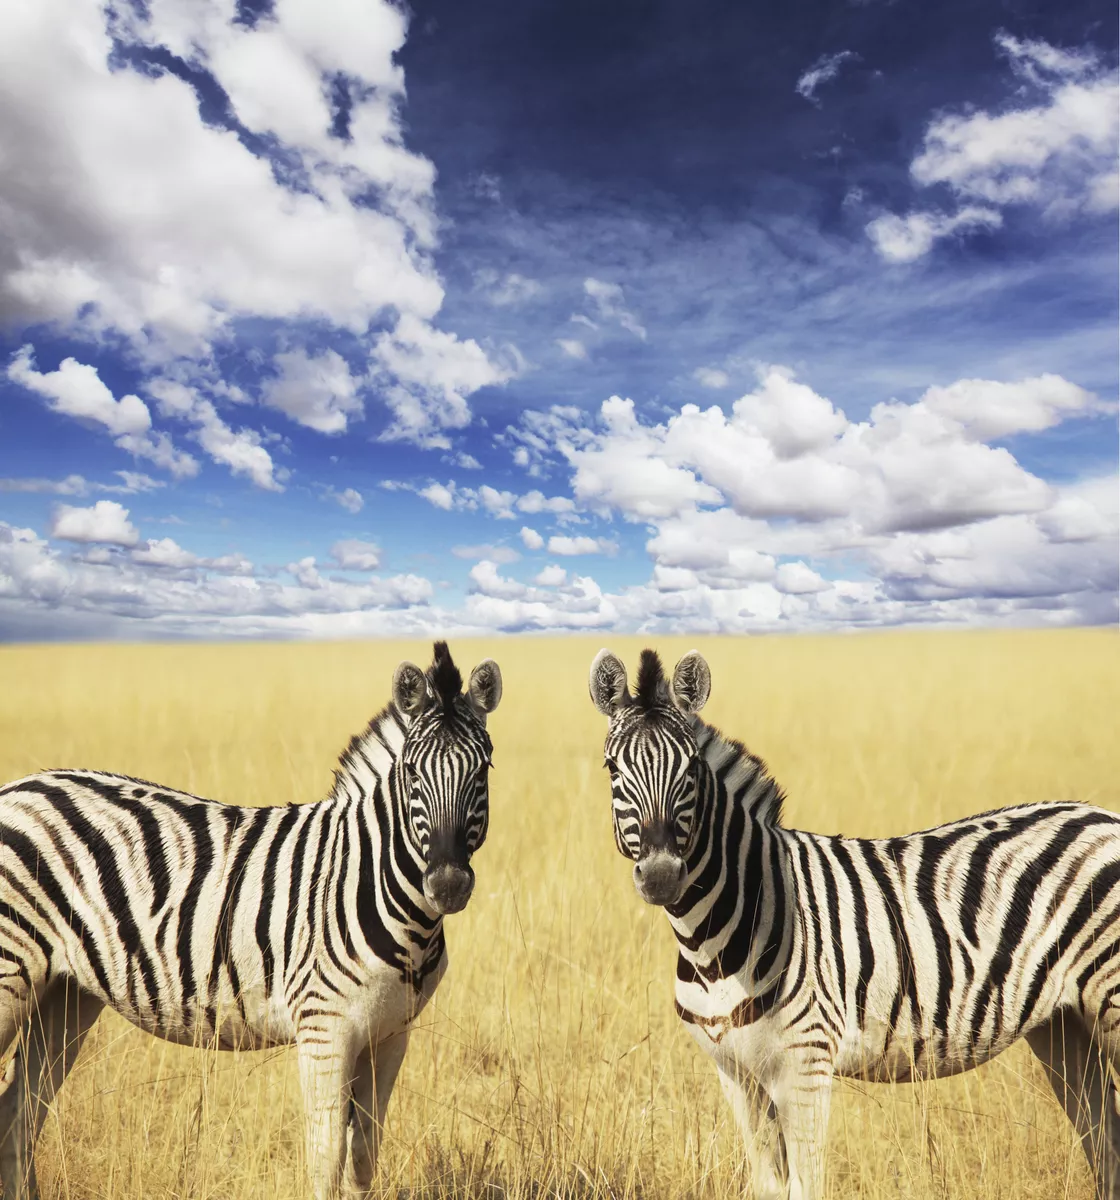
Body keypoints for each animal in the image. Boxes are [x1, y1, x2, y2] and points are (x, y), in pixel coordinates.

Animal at [0, 643, 501, 1195]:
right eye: (411, 773)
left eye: (483, 771)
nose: (448, 885)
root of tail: (18, 787)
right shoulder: (324, 1030)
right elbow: (326, 1159)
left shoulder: (392, 1035)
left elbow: (363, 1160)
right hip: (11, 972)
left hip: (65, 995)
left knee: (19, 1116)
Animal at [590, 648, 1113, 1200]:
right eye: (611, 767)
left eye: (690, 767)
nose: (662, 876)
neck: (712, 945)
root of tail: (1101, 814)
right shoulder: (734, 1073)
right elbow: (767, 1185)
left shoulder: (805, 1065)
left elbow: (806, 1186)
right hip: (1063, 1024)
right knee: (1104, 1142)